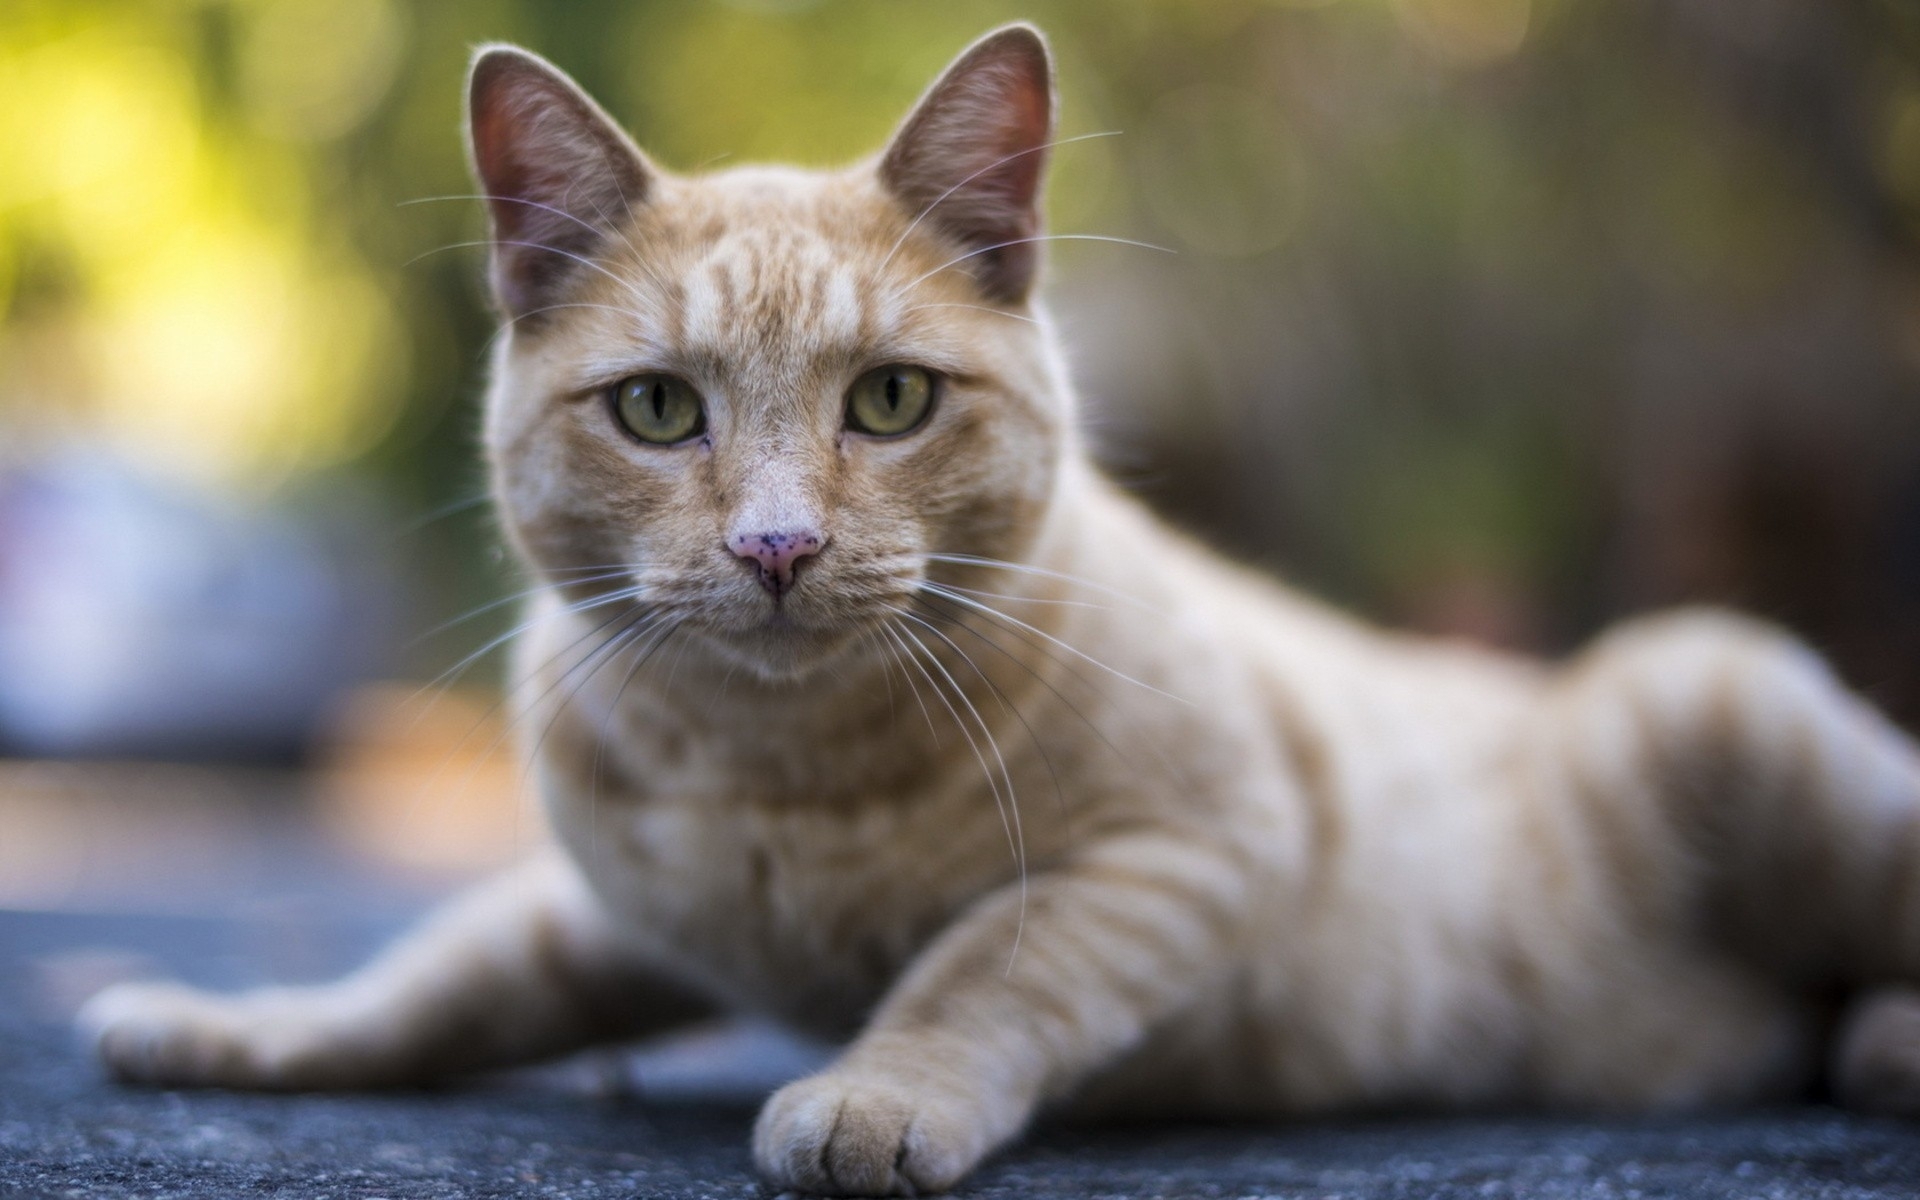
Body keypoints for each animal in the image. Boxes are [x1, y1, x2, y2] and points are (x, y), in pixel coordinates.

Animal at [82, 21, 1920, 1198]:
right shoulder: (610, 909)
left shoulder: (1186, 845)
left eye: (891, 400)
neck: (773, 774)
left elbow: (975, 972)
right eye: (660, 411)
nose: (775, 547)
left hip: (1741, 714)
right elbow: (441, 974)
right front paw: (230, 1023)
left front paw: (869, 1101)